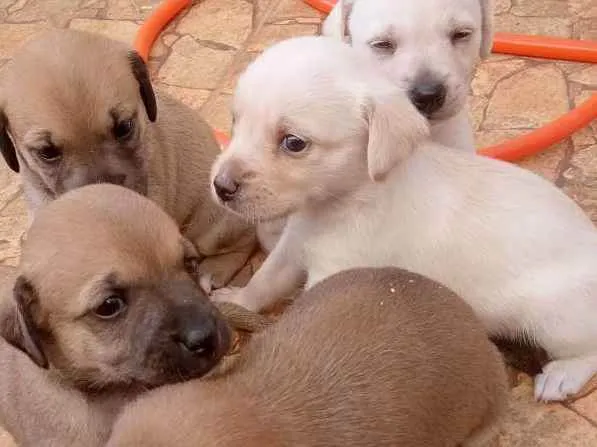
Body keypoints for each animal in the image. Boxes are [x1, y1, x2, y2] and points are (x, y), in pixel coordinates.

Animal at [211, 36, 597, 404]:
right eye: (235, 120)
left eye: (293, 143)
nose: (220, 186)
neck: (338, 205)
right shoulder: (292, 247)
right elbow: (264, 280)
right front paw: (237, 300)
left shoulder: (334, 271)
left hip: (554, 321)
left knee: (588, 350)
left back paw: (561, 377)